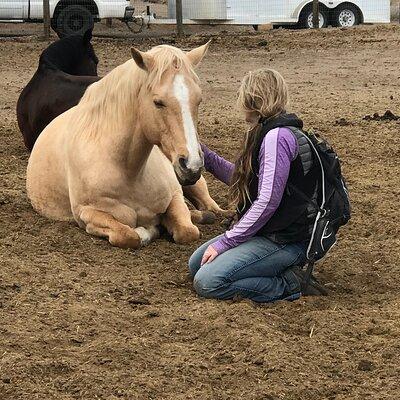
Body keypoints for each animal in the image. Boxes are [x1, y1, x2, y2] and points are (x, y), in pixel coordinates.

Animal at [26, 43, 225, 247]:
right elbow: (127, 235)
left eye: (198, 100)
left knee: (211, 206)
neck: (129, 171)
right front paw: (147, 231)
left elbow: (187, 231)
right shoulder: (87, 213)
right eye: (158, 102)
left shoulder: (175, 196)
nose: (192, 165)